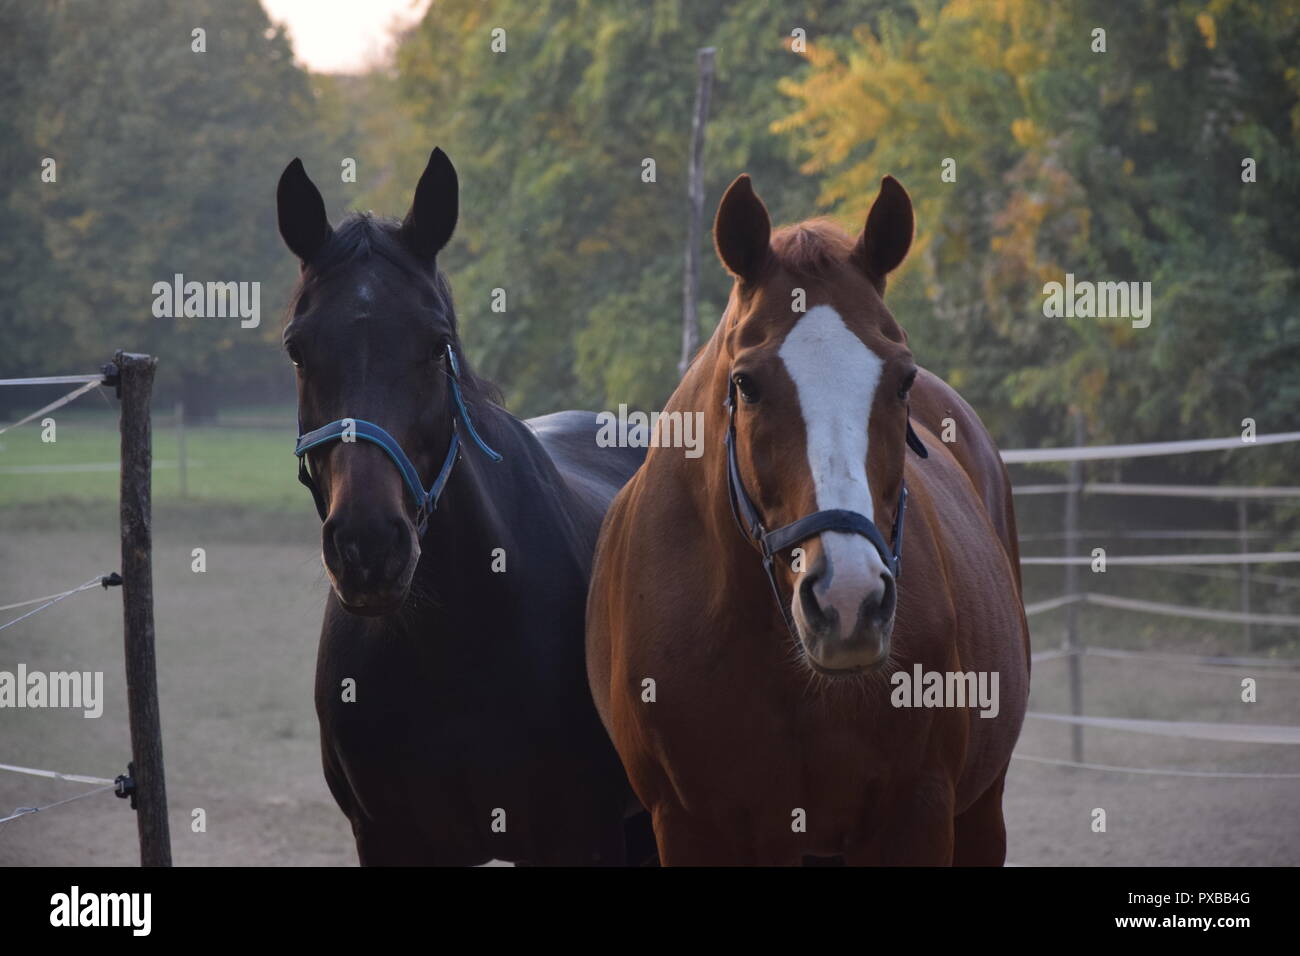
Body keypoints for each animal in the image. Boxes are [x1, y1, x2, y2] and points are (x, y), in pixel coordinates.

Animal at [587, 174, 1024, 868]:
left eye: (902, 380)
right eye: (747, 383)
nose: (848, 600)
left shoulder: (916, 816)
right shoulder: (690, 827)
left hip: (981, 813)